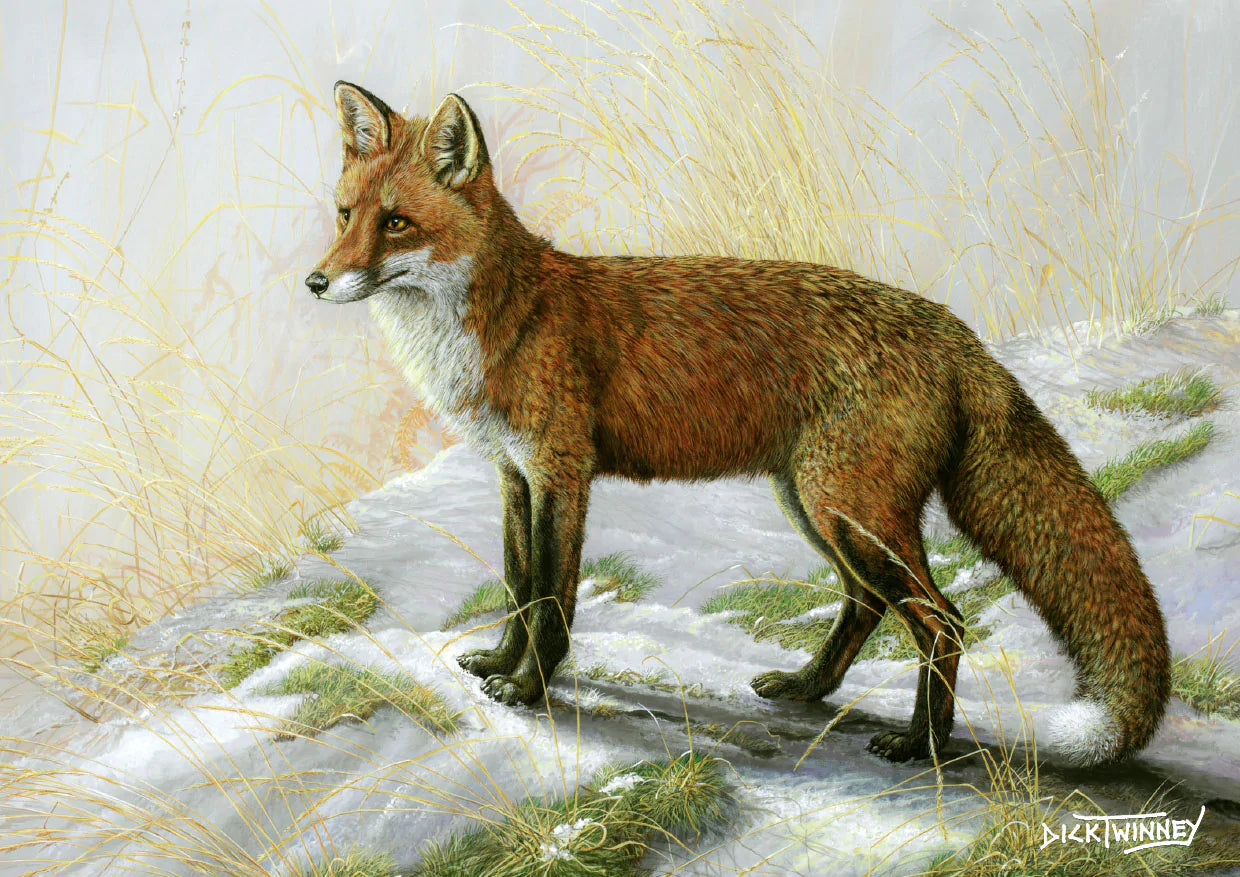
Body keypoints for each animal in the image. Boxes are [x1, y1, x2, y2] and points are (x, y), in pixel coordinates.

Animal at [306, 81, 1170, 766]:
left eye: (397, 224)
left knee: (940, 617)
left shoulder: (562, 471)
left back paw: (922, 743)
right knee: (867, 603)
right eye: (345, 214)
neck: (501, 322)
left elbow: (553, 598)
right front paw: (498, 662)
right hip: (817, 504)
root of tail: (954, 329)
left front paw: (530, 686)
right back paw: (809, 686)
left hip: (848, 507)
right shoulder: (514, 474)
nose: (315, 281)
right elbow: (521, 585)